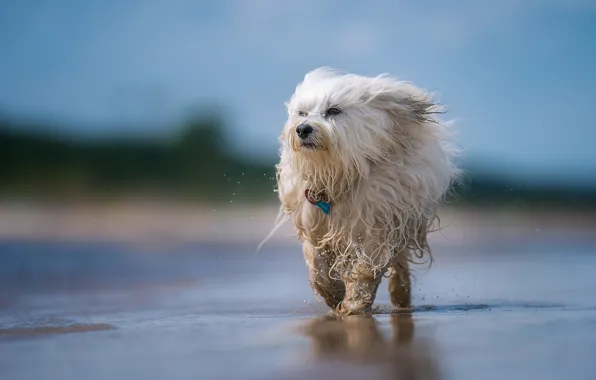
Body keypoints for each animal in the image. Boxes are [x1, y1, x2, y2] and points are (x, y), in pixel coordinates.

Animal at [272, 67, 458, 314]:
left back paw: (400, 296)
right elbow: (317, 265)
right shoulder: (313, 221)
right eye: (302, 113)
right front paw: (333, 294)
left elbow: (367, 268)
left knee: (400, 262)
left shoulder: (379, 222)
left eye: (333, 110)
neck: (340, 174)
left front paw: (354, 304)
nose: (303, 129)